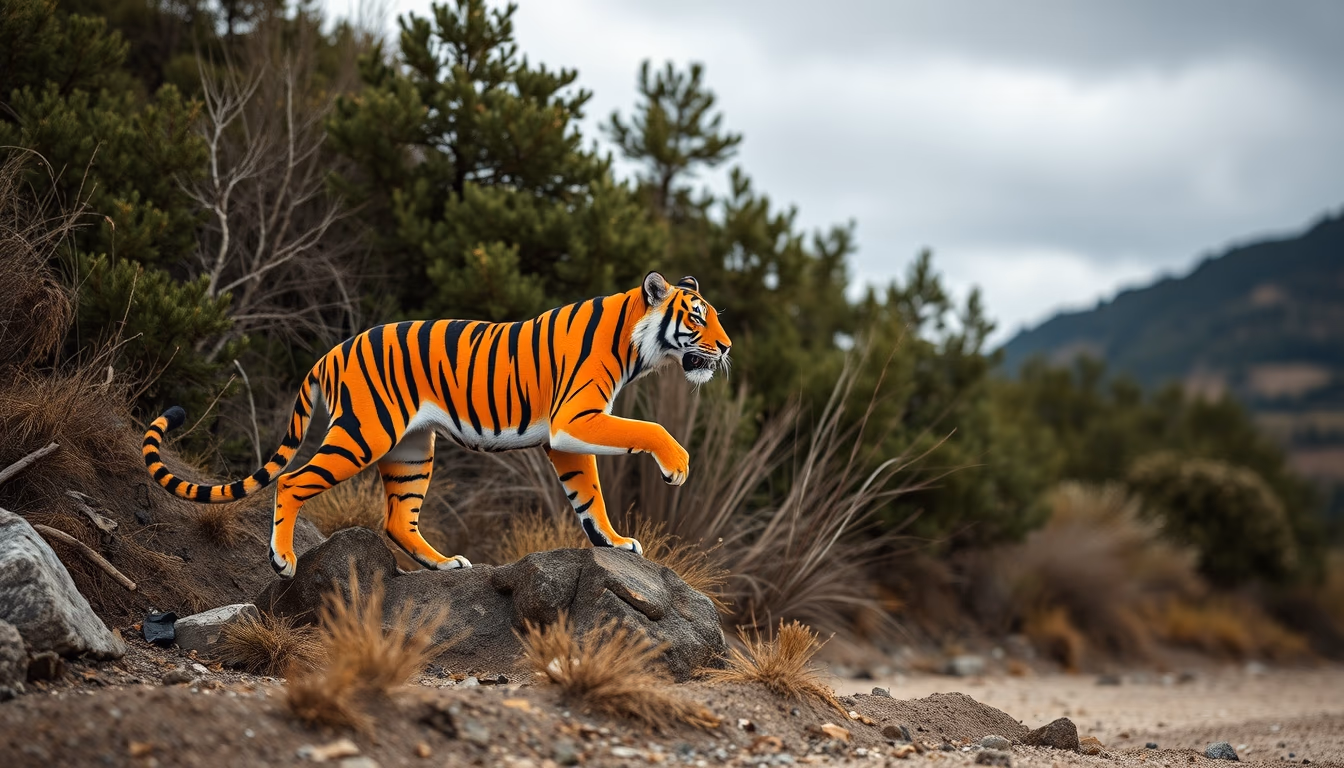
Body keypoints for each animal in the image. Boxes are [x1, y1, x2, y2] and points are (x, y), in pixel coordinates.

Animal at [141, 272, 732, 578]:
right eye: (697, 316)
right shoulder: (575, 419)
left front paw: (613, 543)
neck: (634, 345)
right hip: (363, 434)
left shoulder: (569, 435)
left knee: (397, 520)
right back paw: (282, 560)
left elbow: (588, 496)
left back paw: (446, 565)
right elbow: (648, 430)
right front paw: (676, 467)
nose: (726, 348)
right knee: (290, 479)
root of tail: (330, 351)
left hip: (410, 451)